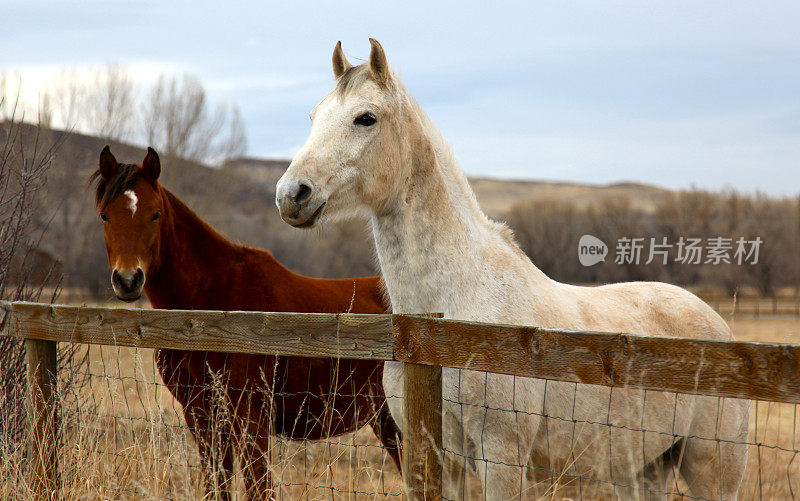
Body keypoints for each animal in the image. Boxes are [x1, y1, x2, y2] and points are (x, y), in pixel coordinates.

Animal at [91, 145, 400, 496]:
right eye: (105, 215)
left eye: (155, 214)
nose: (128, 280)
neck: (208, 312)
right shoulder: (202, 417)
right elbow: (216, 484)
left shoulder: (250, 419)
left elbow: (259, 487)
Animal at [276, 40, 752, 500]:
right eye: (314, 116)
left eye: (366, 118)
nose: (291, 194)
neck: (442, 321)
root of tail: (715, 323)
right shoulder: (432, 458)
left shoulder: (501, 460)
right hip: (641, 469)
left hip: (711, 469)